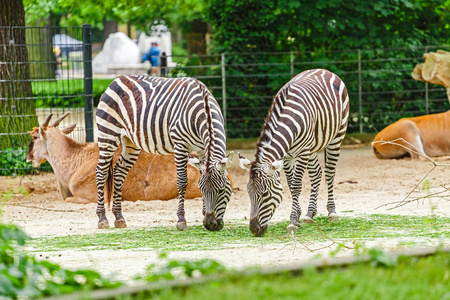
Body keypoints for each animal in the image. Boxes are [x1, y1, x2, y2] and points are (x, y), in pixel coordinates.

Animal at [96, 74, 234, 232]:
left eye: (222, 190)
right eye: (201, 190)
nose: (210, 224)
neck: (203, 111)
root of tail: (117, 78)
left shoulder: (203, 149)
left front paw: (203, 213)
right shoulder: (180, 145)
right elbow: (182, 182)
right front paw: (181, 220)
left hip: (131, 142)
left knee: (119, 171)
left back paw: (119, 217)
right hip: (107, 134)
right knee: (101, 172)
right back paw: (102, 218)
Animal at [237, 69, 350, 236]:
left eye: (265, 194)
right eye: (249, 193)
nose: (254, 229)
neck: (290, 121)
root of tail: (324, 70)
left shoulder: (302, 152)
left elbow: (296, 186)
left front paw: (292, 222)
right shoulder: (287, 156)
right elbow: (291, 186)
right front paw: (297, 218)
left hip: (336, 136)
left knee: (330, 172)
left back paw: (332, 212)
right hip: (313, 146)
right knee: (316, 173)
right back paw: (310, 214)